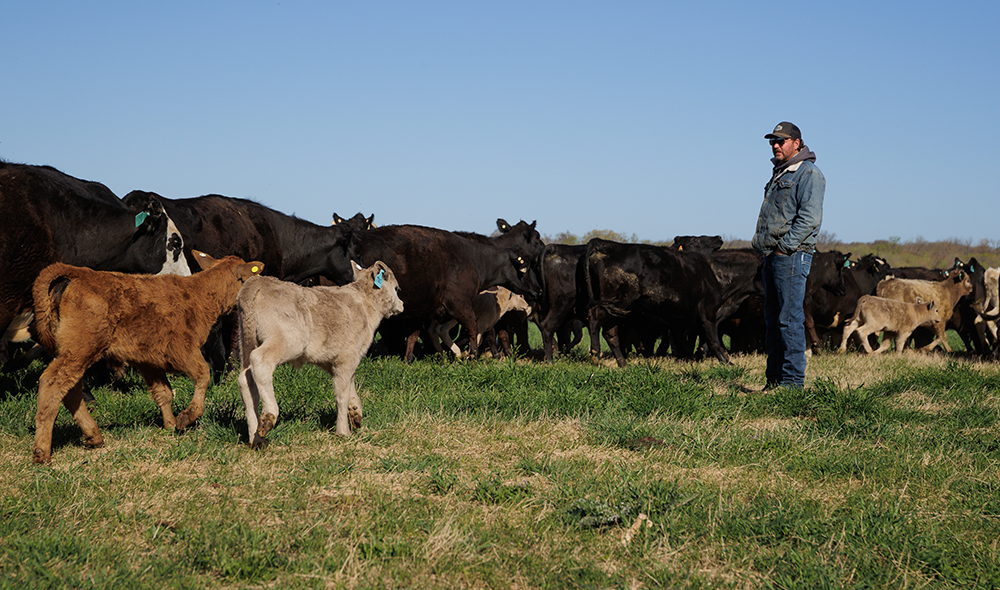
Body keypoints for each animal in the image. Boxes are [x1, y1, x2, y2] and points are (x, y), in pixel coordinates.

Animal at [32, 252, 262, 464]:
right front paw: (187, 416)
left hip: (73, 351)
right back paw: (42, 452)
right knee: (54, 383)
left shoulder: (148, 360)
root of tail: (78, 274)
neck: (199, 294)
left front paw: (170, 425)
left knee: (71, 390)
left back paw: (93, 436)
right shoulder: (182, 349)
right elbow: (203, 374)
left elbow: (164, 392)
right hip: (81, 348)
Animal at [236, 260, 404, 448]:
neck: (365, 306)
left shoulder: (342, 361)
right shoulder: (346, 358)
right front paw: (343, 432)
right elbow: (341, 395)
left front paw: (355, 413)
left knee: (246, 378)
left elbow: (350, 387)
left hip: (246, 340)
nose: (402, 304)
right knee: (260, 361)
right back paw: (269, 416)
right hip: (288, 340)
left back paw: (256, 438)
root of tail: (258, 282)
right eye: (396, 288)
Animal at [350, 224, 544, 358]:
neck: (474, 260)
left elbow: (418, 334)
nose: (539, 289)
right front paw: (472, 355)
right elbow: (473, 328)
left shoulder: (428, 310)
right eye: (526, 267)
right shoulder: (460, 304)